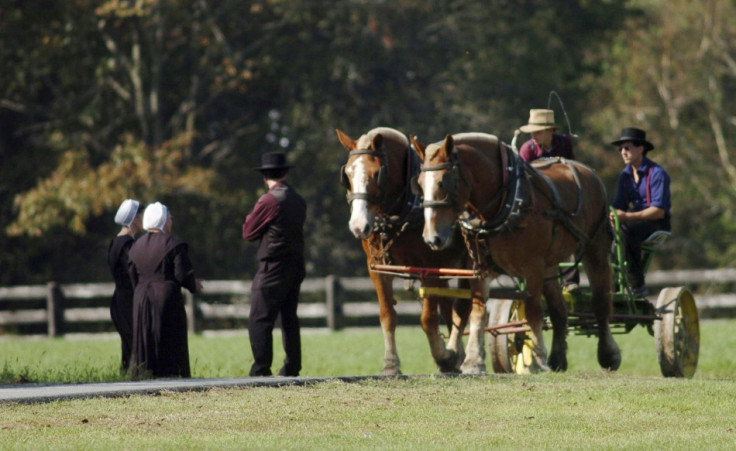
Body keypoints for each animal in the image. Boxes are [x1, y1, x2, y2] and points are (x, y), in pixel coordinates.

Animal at [338, 126, 474, 374]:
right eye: (348, 175)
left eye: (376, 174)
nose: (358, 226)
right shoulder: (376, 268)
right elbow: (387, 315)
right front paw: (391, 364)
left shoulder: (429, 269)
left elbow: (428, 319)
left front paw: (442, 356)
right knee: (448, 308)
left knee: (462, 307)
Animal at [414, 133, 620, 374]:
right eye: (420, 184)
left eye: (444, 182)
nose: (432, 238)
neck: (506, 203)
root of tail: (587, 171)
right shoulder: (480, 268)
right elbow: (477, 311)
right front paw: (473, 361)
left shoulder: (532, 267)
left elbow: (533, 311)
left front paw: (538, 359)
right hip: (549, 265)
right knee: (559, 311)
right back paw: (558, 358)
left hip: (595, 248)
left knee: (601, 301)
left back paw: (608, 353)